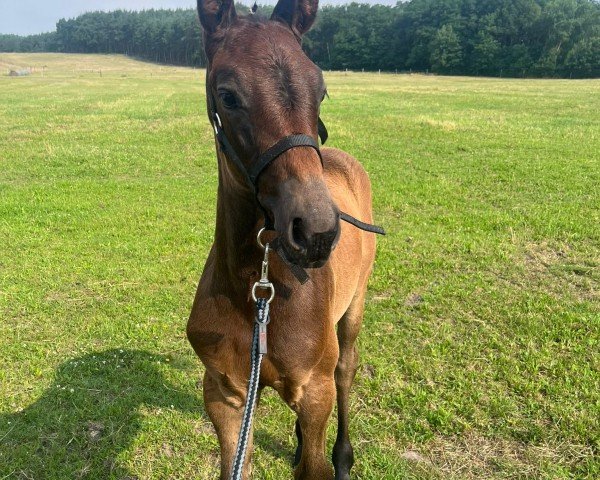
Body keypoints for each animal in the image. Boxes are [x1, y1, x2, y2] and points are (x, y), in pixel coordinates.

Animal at [186, 1, 376, 478]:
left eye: (321, 90)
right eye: (227, 94)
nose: (316, 232)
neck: (258, 294)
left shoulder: (315, 392)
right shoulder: (225, 393)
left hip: (356, 304)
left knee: (346, 367)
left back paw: (343, 454)